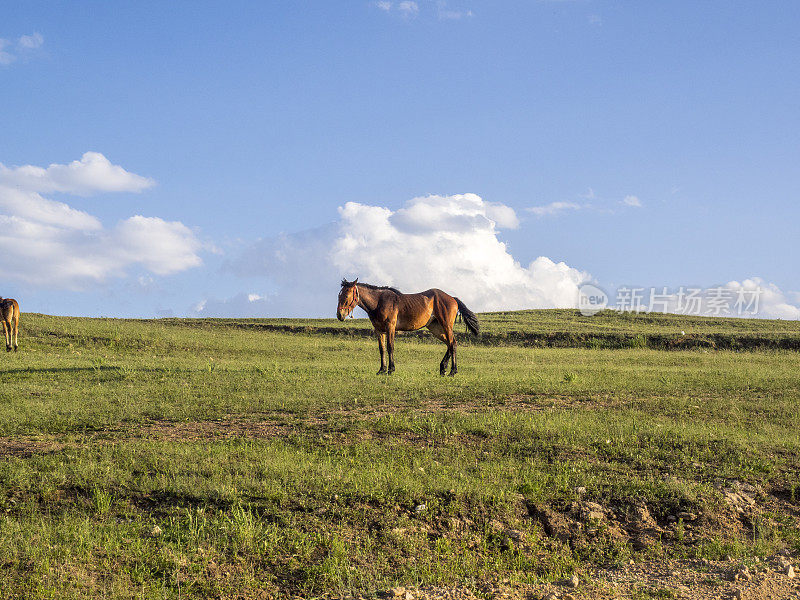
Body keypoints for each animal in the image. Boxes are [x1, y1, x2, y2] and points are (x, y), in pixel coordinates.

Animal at [334, 280, 478, 376]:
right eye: (339, 295)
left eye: (346, 295)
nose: (340, 315)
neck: (379, 302)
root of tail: (452, 298)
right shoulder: (379, 330)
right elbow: (382, 349)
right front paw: (381, 369)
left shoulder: (390, 328)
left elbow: (390, 347)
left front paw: (391, 369)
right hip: (435, 328)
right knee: (450, 343)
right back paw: (443, 368)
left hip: (446, 325)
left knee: (453, 343)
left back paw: (453, 371)